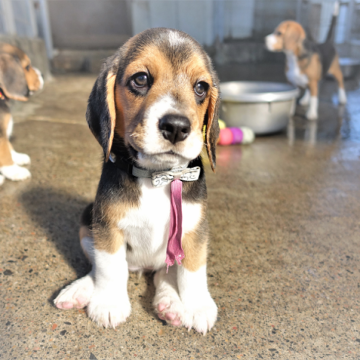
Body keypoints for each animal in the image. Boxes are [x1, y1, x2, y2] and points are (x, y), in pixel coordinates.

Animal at [0, 41, 44, 186]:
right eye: (27, 67)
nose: (42, 74)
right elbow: (5, 152)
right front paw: (14, 171)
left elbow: (9, 147)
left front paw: (17, 157)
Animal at [54, 28, 221, 334]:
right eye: (141, 79)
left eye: (201, 87)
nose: (176, 126)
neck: (157, 176)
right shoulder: (107, 227)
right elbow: (109, 268)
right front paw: (108, 303)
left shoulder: (194, 229)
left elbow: (192, 270)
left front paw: (197, 306)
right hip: (88, 220)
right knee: (100, 266)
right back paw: (80, 289)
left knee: (164, 275)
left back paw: (170, 304)